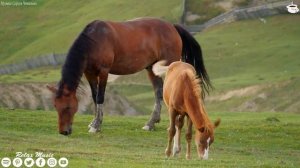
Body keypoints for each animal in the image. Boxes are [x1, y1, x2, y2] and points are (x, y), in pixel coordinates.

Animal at [46, 17, 211, 135]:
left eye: (68, 107)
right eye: (55, 106)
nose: (64, 131)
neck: (95, 40)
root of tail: (172, 27)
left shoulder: (104, 72)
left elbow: (100, 97)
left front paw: (97, 125)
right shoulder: (89, 73)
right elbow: (94, 96)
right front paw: (94, 122)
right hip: (152, 69)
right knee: (158, 93)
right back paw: (151, 123)